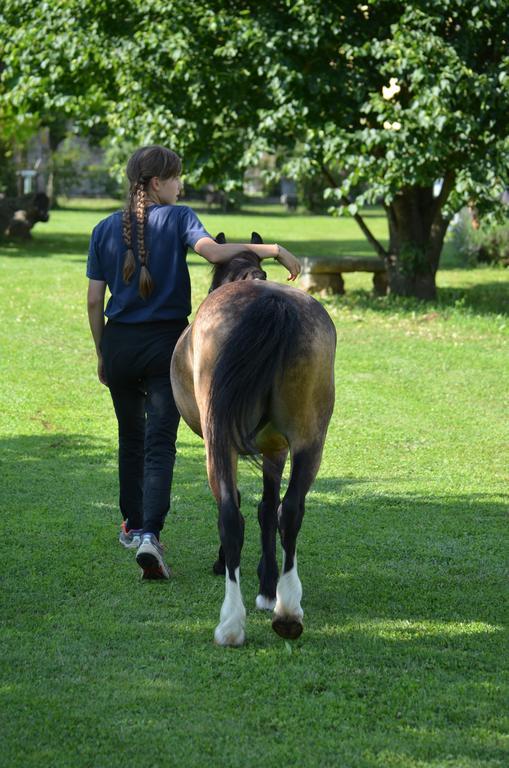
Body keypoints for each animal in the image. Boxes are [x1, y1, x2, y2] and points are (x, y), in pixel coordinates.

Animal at [170, 231, 338, 644]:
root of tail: (273, 304)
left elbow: (242, 505)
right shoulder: (276, 448)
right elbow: (267, 509)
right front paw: (268, 586)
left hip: (218, 441)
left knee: (231, 516)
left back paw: (231, 622)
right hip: (311, 440)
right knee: (290, 511)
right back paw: (288, 609)